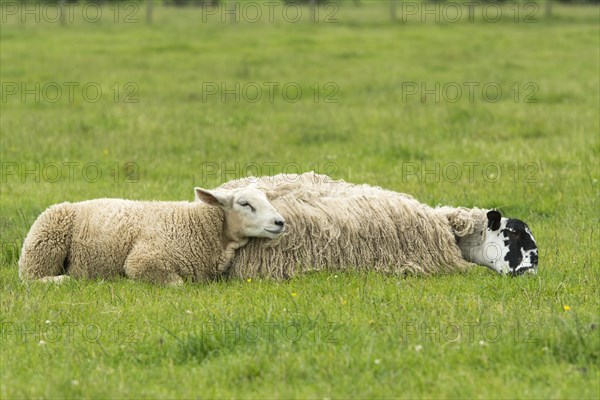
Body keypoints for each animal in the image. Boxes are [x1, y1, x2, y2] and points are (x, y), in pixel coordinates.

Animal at [19, 186, 288, 286]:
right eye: (244, 204)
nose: (280, 222)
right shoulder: (141, 260)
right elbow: (178, 284)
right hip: (44, 245)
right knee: (30, 279)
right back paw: (62, 280)